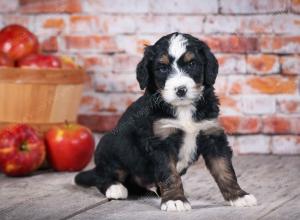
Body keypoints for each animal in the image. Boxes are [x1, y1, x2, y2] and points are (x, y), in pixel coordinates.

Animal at [74, 32, 256, 211]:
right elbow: (169, 174)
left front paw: (239, 196)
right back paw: (115, 188)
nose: (181, 90)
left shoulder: (212, 135)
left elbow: (224, 169)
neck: (183, 109)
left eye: (192, 64)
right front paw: (175, 200)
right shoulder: (161, 142)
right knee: (102, 175)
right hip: (109, 147)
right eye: (162, 68)